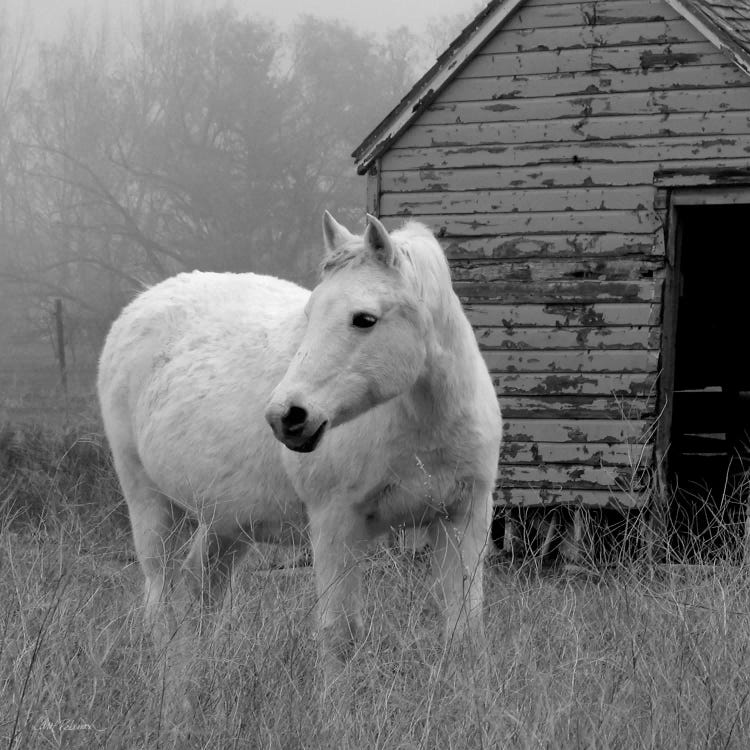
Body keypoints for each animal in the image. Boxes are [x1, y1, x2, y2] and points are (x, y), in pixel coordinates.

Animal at [97, 212, 502, 676]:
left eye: (364, 319)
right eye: (310, 314)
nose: (287, 417)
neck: (422, 425)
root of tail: (141, 303)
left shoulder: (464, 518)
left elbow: (465, 629)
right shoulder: (335, 522)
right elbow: (339, 634)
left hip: (227, 521)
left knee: (200, 589)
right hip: (148, 500)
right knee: (160, 592)